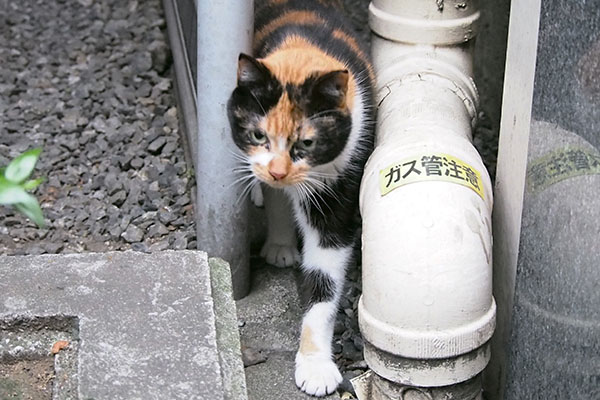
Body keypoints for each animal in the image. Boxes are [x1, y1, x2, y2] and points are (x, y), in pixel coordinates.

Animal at [227, 0, 372, 396]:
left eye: (307, 142)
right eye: (257, 135)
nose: (278, 171)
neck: (302, 50)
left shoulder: (339, 182)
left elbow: (324, 281)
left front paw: (316, 367)